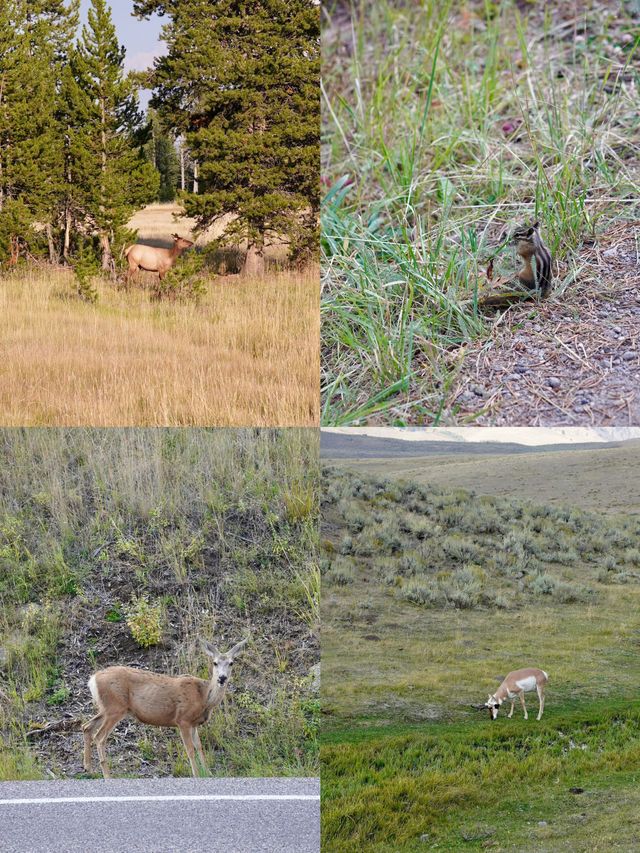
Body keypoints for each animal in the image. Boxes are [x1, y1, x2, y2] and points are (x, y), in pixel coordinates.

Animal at [83, 636, 248, 776]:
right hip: (115, 707)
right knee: (99, 737)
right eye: (214, 662)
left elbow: (200, 748)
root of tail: (92, 679)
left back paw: (89, 769)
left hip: (107, 708)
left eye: (231, 663)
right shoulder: (183, 720)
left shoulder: (194, 724)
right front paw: (196, 775)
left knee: (87, 726)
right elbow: (190, 750)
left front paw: (209, 773)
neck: (203, 697)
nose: (222, 678)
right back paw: (106, 775)